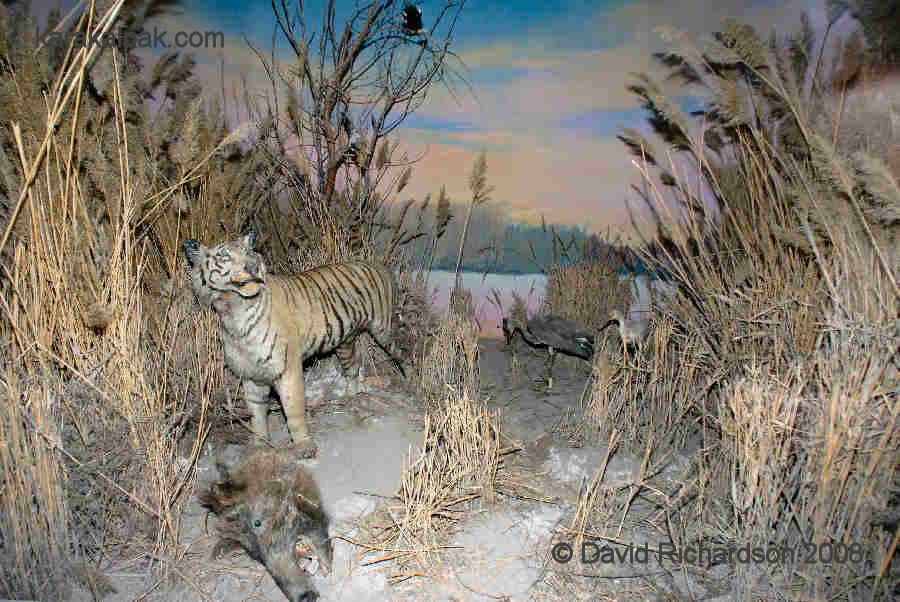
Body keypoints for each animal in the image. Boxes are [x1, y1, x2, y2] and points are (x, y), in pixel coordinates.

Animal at [184, 230, 403, 458]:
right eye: (224, 256)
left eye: (248, 251)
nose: (253, 266)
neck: (233, 311)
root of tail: (376, 264)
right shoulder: (251, 376)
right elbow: (256, 415)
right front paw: (260, 445)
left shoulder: (288, 369)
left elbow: (293, 411)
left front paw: (305, 446)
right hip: (345, 341)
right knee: (353, 367)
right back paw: (353, 398)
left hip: (384, 330)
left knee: (403, 353)